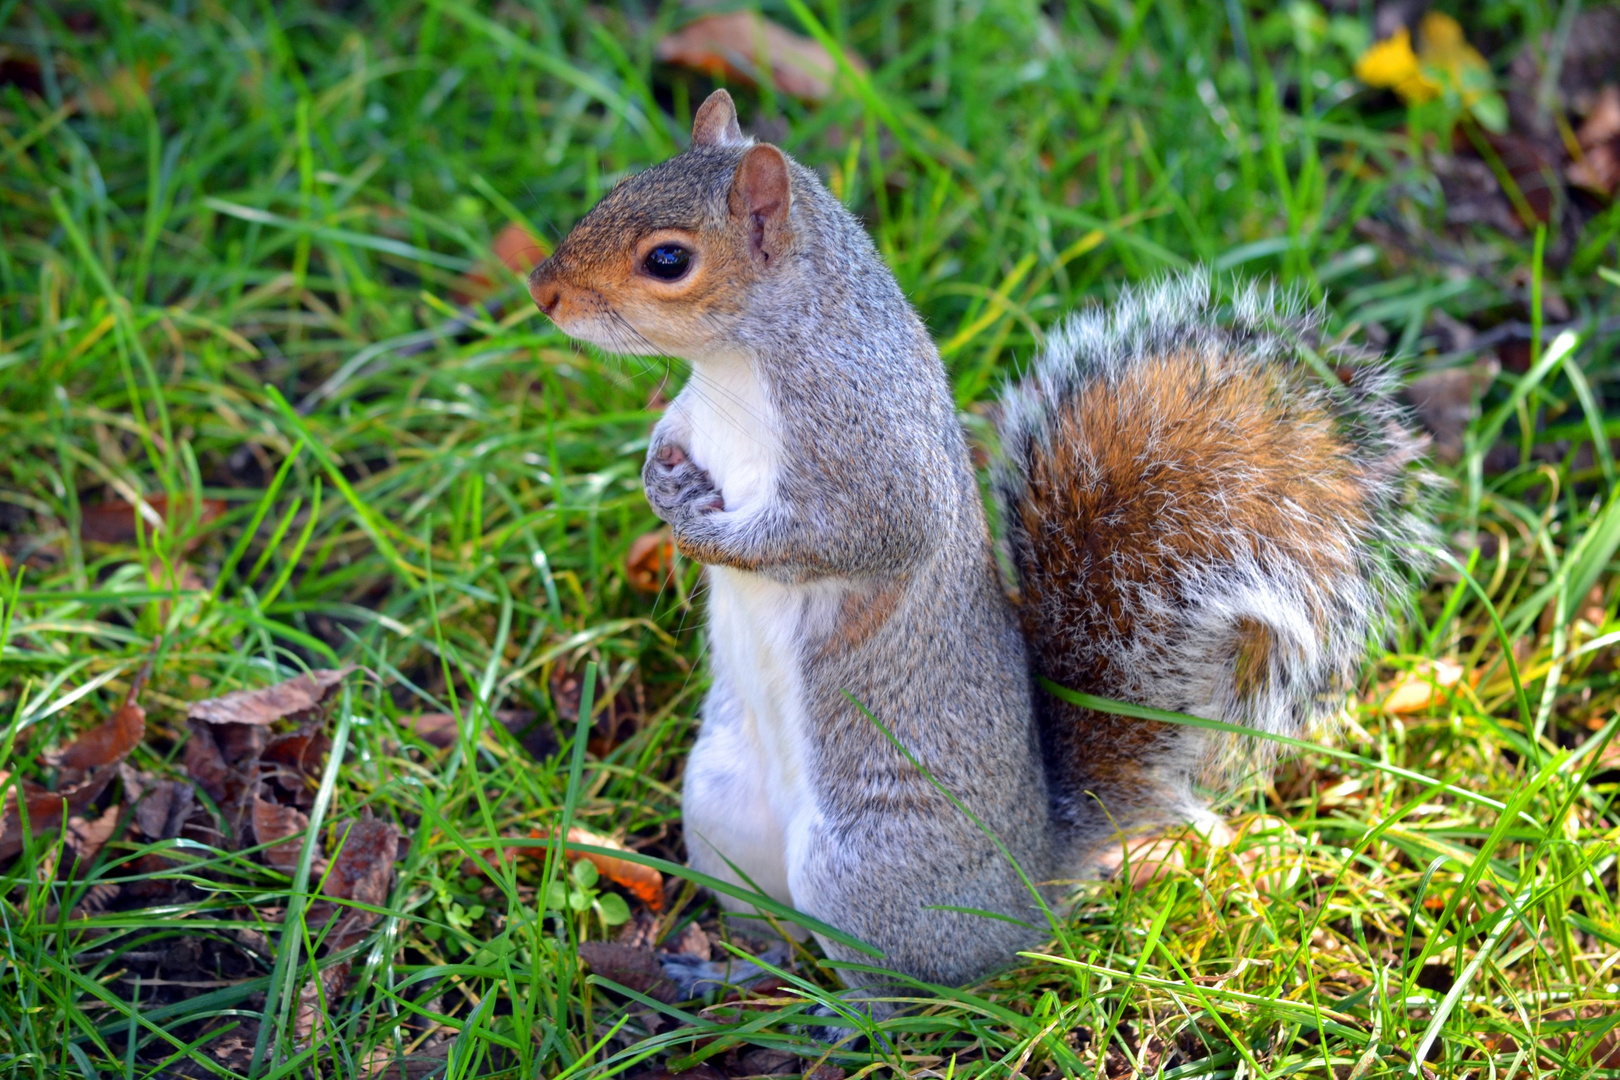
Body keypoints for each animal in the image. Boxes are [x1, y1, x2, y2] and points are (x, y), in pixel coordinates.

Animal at [528, 90, 1432, 1003]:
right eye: (618, 186)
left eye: (667, 259)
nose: (543, 291)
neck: (731, 367)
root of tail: (1033, 883)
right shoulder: (696, 413)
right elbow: (671, 435)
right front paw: (658, 480)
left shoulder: (872, 454)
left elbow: (849, 535)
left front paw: (706, 534)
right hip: (720, 808)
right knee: (772, 929)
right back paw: (725, 971)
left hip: (867, 867)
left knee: (910, 990)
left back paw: (839, 1016)